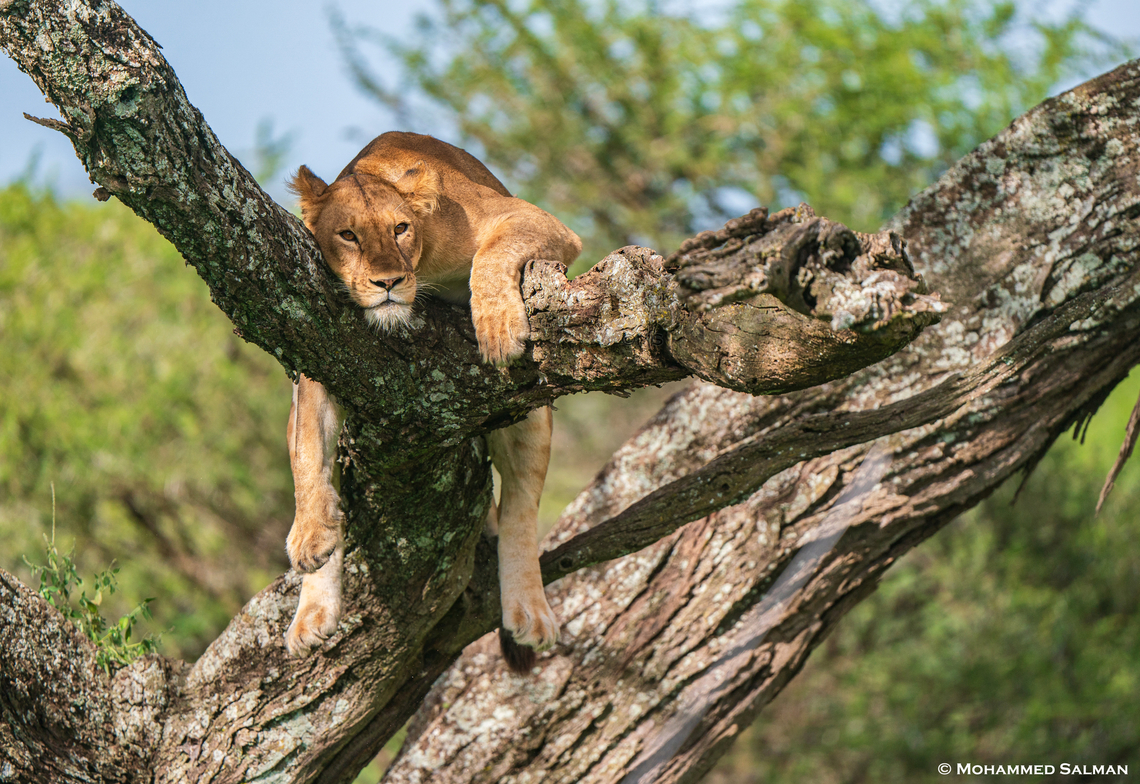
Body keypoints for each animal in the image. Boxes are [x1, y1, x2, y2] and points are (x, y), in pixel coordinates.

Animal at [283, 131, 581, 671]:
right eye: (348, 235)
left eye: (400, 228)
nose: (387, 283)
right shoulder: (314, 349)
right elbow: (307, 452)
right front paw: (311, 535)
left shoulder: (535, 221)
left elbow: (493, 254)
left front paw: (498, 327)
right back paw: (311, 616)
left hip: (533, 420)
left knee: (520, 509)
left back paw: (530, 613)